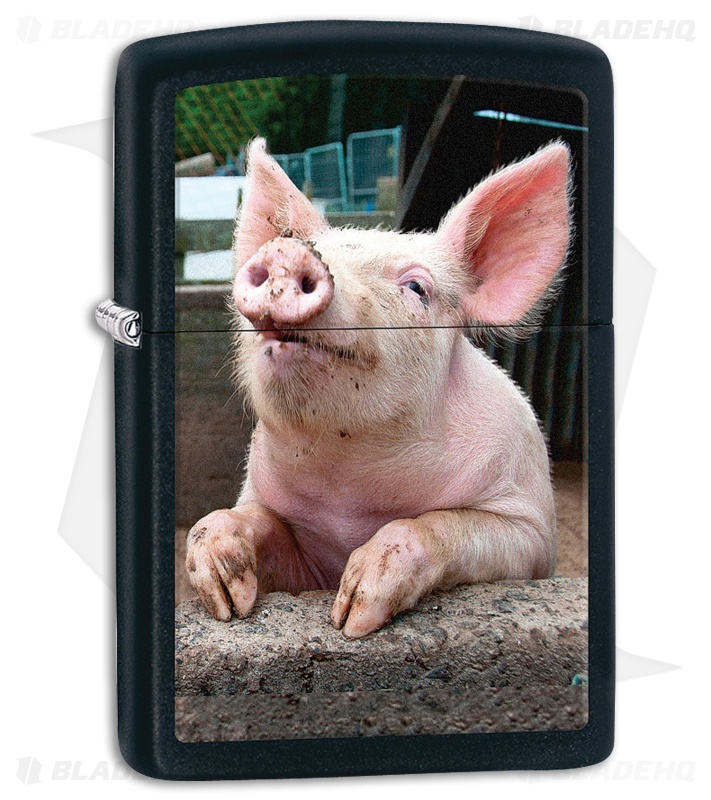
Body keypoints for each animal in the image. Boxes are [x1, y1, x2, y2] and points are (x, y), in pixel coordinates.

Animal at [186, 137, 571, 638]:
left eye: (417, 287)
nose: (288, 253)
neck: (352, 491)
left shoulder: (530, 529)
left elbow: (441, 525)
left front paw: (352, 617)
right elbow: (247, 521)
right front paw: (226, 601)